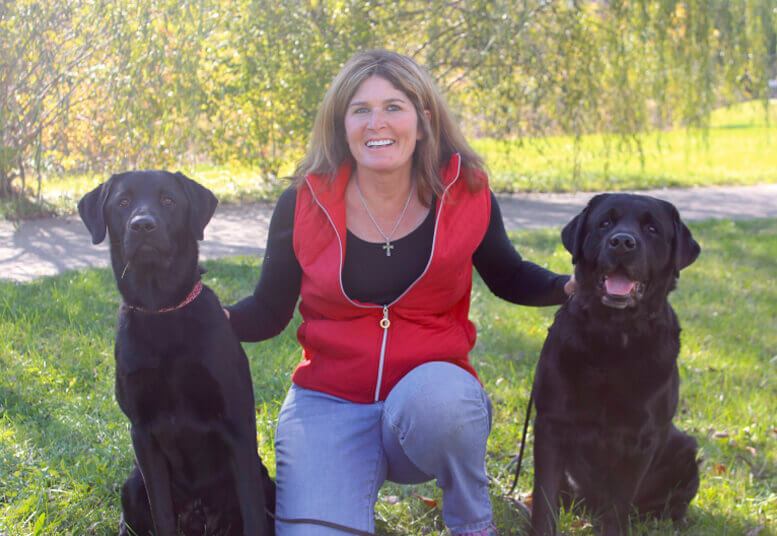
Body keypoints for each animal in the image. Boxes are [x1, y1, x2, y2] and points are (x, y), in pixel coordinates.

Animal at [79, 172, 272, 536]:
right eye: (122, 202)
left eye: (168, 200)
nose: (143, 225)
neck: (162, 312)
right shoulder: (142, 432)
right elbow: (162, 514)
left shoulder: (237, 423)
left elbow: (253, 512)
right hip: (132, 484)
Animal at [532, 195, 700, 536]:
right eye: (605, 223)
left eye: (652, 228)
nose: (622, 242)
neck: (611, 338)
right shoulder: (550, 424)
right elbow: (545, 498)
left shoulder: (639, 439)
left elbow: (617, 504)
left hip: (686, 449)